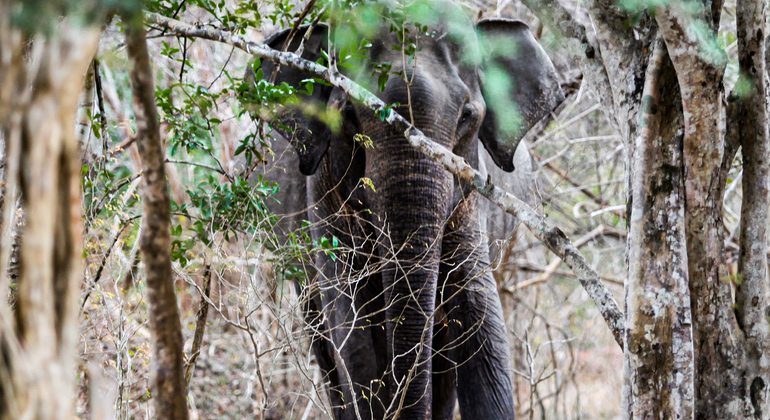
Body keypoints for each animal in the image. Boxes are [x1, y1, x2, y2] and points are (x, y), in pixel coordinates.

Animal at [246, 2, 560, 416]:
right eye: (349, 114)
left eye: (467, 116)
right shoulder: (323, 195)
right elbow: (352, 329)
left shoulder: (472, 195)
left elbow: (481, 320)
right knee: (326, 344)